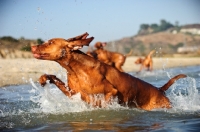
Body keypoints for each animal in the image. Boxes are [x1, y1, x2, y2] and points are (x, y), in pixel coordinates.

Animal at [30, 32, 186, 110]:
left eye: (50, 42)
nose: (32, 46)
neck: (76, 68)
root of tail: (160, 90)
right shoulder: (73, 93)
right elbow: (53, 77)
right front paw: (43, 78)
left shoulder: (111, 92)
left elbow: (105, 102)